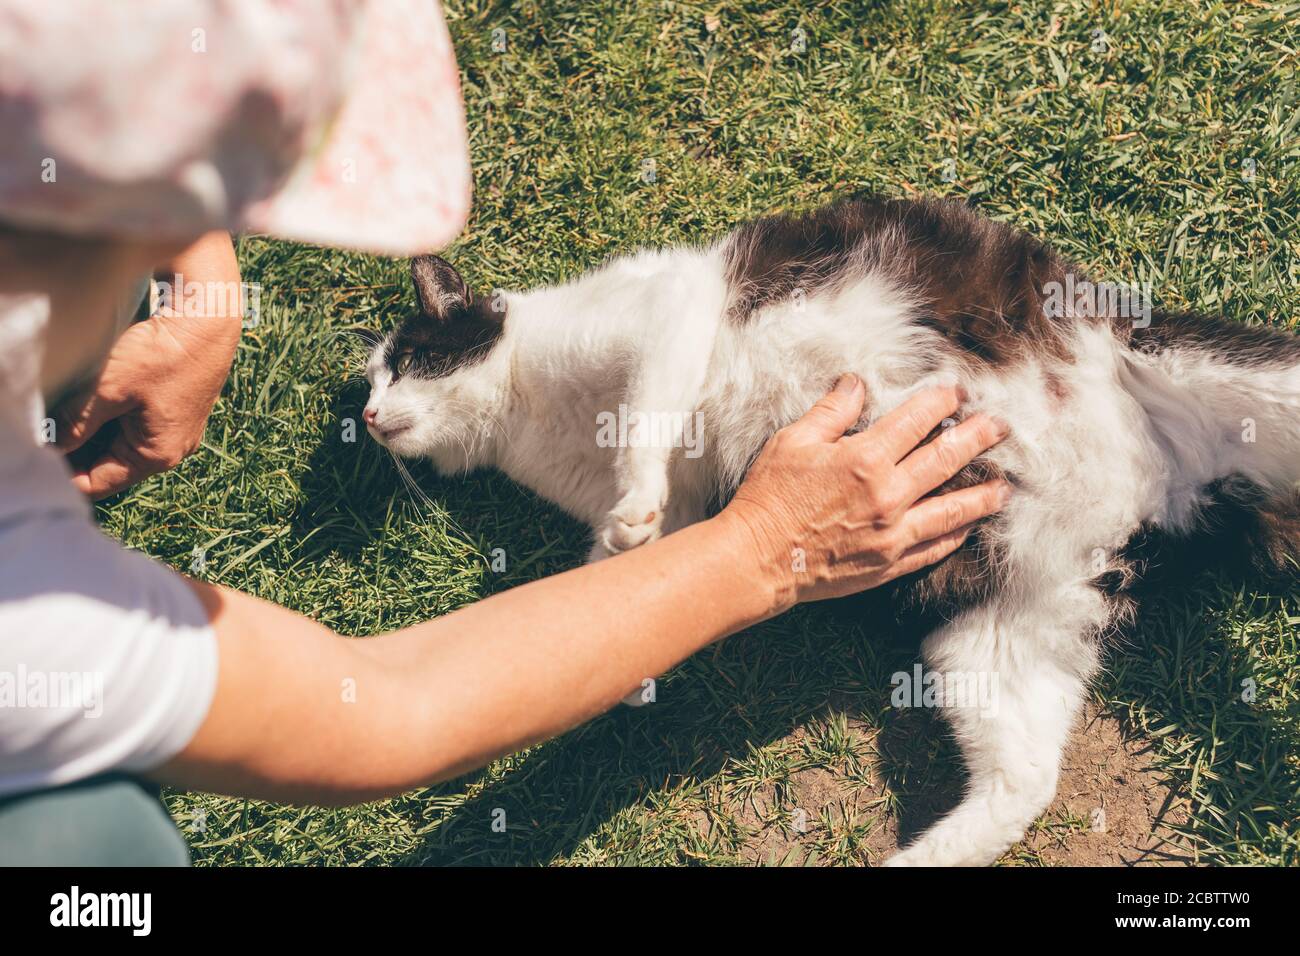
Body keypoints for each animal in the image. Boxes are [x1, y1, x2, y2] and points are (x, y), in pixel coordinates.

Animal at [364, 196, 1300, 868]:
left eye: (407, 361)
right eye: (373, 381)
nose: (368, 418)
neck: (529, 423)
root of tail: (1160, 489)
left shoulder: (671, 305)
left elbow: (643, 412)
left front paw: (628, 507)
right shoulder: (695, 504)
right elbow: (630, 569)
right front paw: (620, 642)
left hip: (1224, 375)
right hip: (1006, 627)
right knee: (1025, 782)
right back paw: (918, 862)